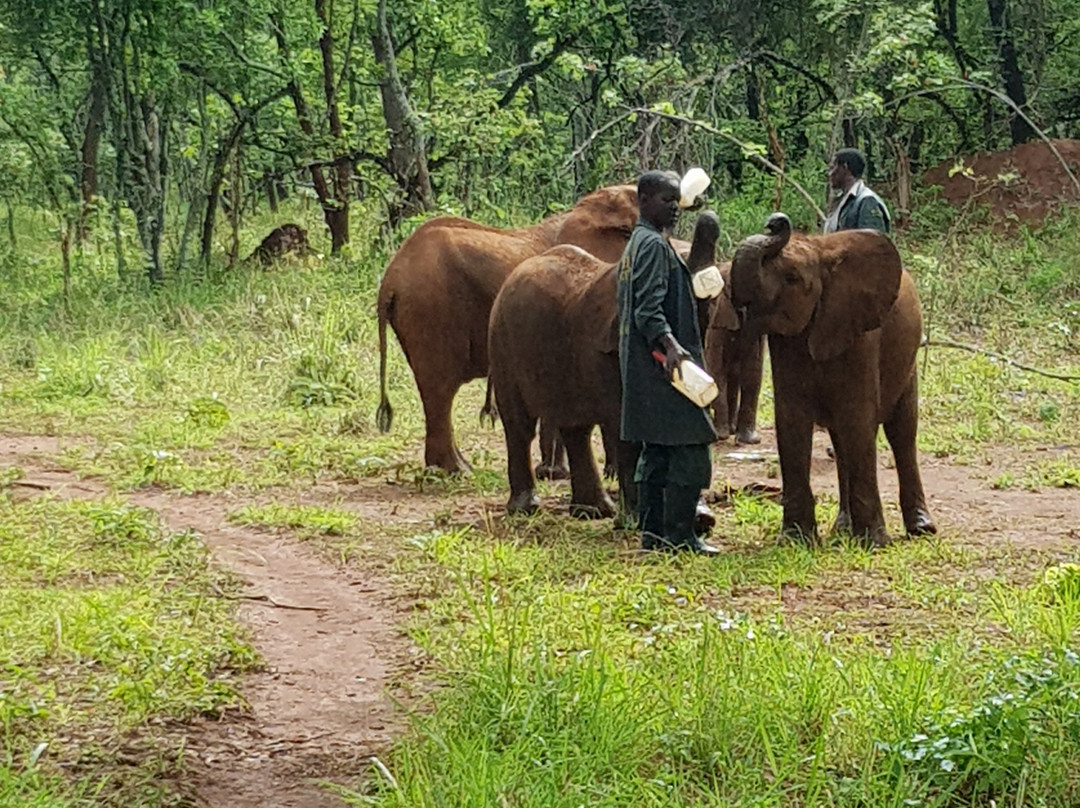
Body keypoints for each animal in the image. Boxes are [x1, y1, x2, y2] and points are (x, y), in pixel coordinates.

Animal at [488, 212, 721, 519]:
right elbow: (624, 426)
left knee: (576, 429)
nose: (708, 218)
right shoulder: (604, 351)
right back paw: (527, 508)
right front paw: (637, 518)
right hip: (503, 345)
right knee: (519, 424)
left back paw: (593, 511)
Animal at [700, 263, 765, 445]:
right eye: (710, 301)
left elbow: (752, 371)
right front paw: (720, 435)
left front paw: (750, 440)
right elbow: (717, 368)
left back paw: (731, 429)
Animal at [729, 213, 936, 547]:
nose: (775, 221)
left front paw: (874, 543)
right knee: (841, 443)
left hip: (908, 360)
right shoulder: (787, 341)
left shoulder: (861, 335)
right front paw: (796, 541)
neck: (820, 252)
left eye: (793, 279)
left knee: (902, 432)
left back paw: (921, 529)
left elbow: (858, 418)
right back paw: (842, 529)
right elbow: (792, 421)